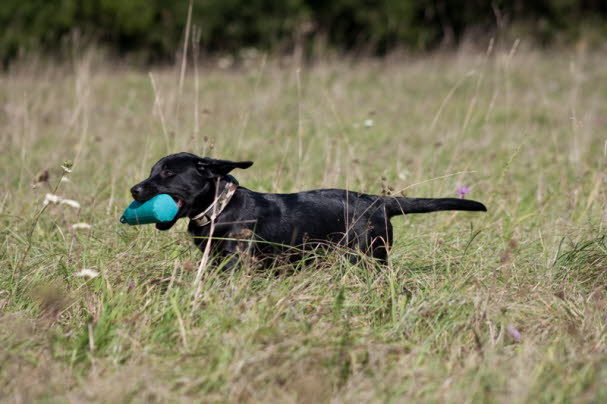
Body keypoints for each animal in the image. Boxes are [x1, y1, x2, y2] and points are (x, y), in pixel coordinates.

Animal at [131, 153, 486, 266]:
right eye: (151, 171)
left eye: (167, 173)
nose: (133, 189)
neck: (221, 207)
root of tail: (376, 200)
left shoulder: (236, 261)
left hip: (369, 256)